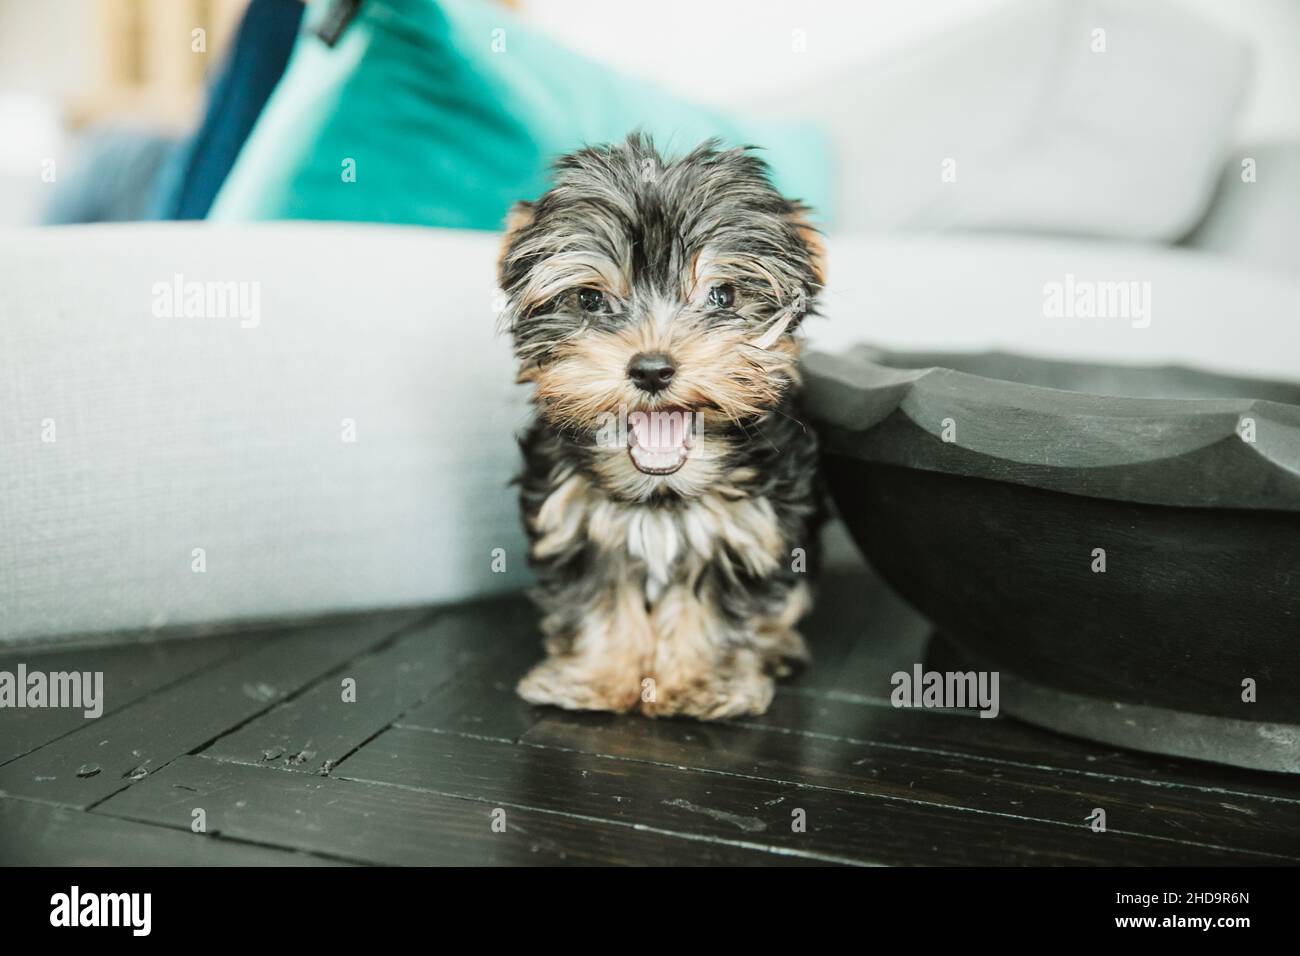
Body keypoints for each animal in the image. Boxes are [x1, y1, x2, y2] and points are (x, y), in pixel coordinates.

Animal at [496, 134, 821, 717]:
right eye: (590, 299)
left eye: (722, 295)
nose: (651, 369)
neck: (660, 495)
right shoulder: (577, 520)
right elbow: (597, 599)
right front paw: (597, 679)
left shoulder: (744, 528)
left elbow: (714, 608)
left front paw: (700, 683)